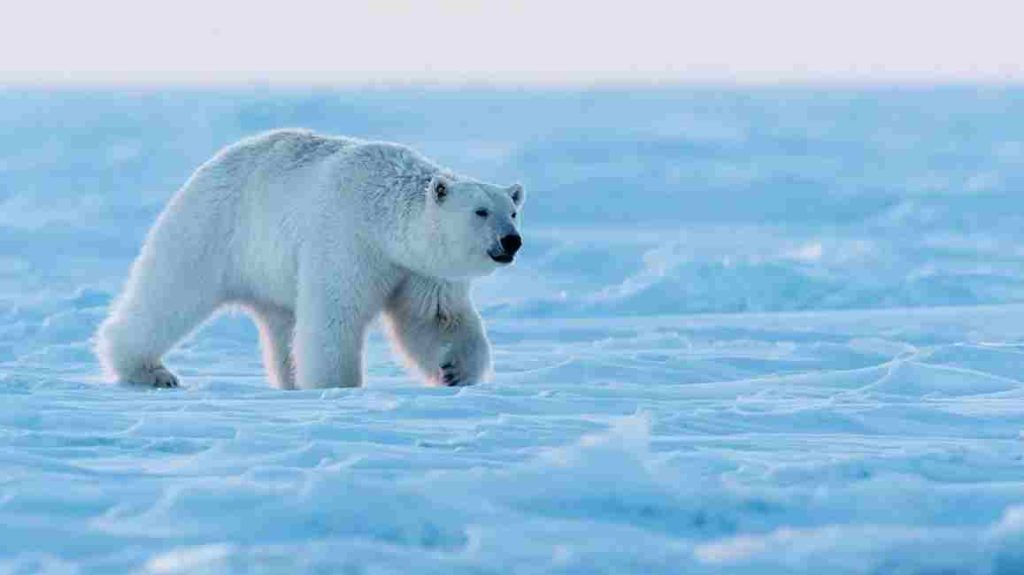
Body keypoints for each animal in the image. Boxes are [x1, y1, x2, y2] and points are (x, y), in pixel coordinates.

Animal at [95, 129, 525, 390]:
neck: (380, 216)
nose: (512, 241)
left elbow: (436, 317)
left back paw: (289, 379)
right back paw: (150, 371)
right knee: (169, 293)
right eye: (481, 212)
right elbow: (334, 314)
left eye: (513, 210)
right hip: (212, 229)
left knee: (282, 325)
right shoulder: (347, 240)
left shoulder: (419, 269)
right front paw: (337, 385)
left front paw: (455, 369)